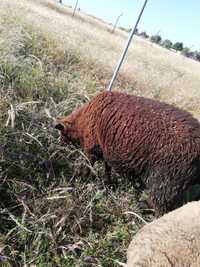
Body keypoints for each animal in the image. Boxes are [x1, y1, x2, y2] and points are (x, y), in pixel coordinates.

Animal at [52, 92, 200, 216]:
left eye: (61, 133)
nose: (59, 144)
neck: (81, 122)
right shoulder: (106, 150)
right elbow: (107, 169)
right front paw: (108, 184)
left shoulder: (92, 147)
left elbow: (87, 166)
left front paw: (79, 179)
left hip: (165, 181)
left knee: (160, 208)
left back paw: (142, 210)